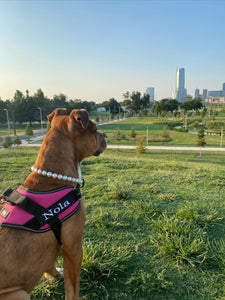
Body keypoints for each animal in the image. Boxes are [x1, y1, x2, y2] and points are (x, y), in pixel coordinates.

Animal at [0, 109, 107, 298]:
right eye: (95, 130)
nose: (105, 134)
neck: (52, 177)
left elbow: (49, 262)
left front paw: (54, 274)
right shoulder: (73, 247)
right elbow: (72, 288)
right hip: (20, 294)